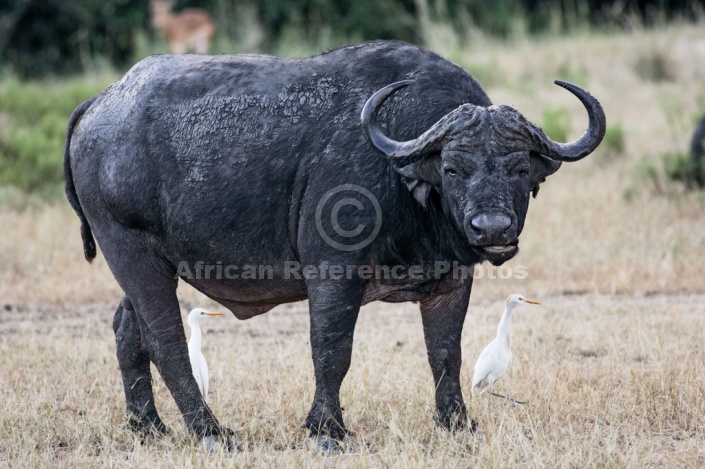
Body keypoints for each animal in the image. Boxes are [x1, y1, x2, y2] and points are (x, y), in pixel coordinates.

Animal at [64, 41, 604, 450]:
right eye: (453, 168)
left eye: (520, 168)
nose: (491, 229)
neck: (402, 179)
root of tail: (102, 101)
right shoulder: (333, 273)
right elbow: (331, 349)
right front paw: (326, 429)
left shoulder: (452, 280)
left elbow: (445, 351)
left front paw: (456, 423)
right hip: (134, 255)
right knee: (167, 340)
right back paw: (210, 431)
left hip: (140, 265)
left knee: (126, 330)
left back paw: (147, 427)